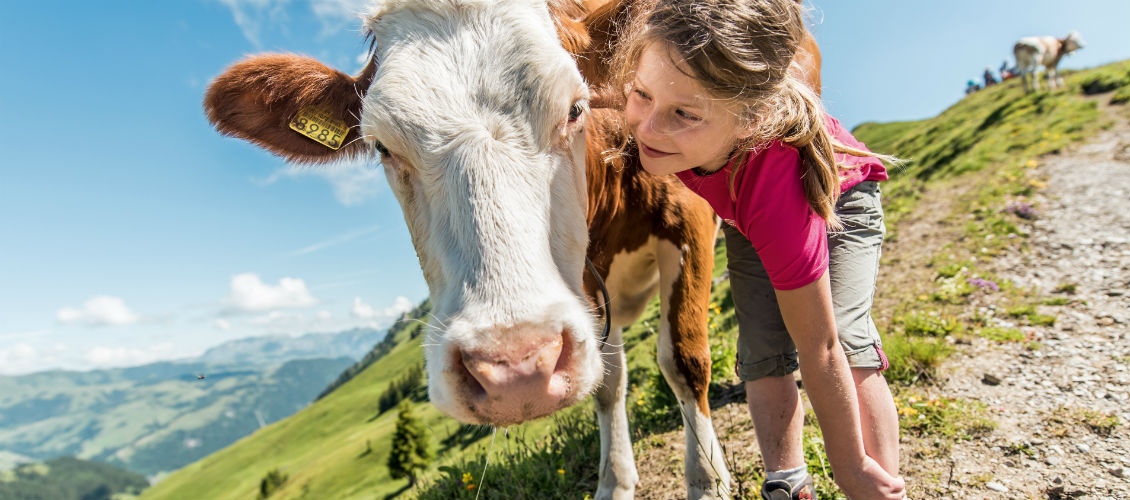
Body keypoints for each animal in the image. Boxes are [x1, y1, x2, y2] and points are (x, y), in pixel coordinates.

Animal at [203, 1, 822, 497]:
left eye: (575, 108)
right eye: (381, 146)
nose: (513, 368)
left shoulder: (689, 217)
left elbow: (683, 358)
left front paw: (708, 481)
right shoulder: (586, 284)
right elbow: (608, 380)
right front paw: (614, 481)